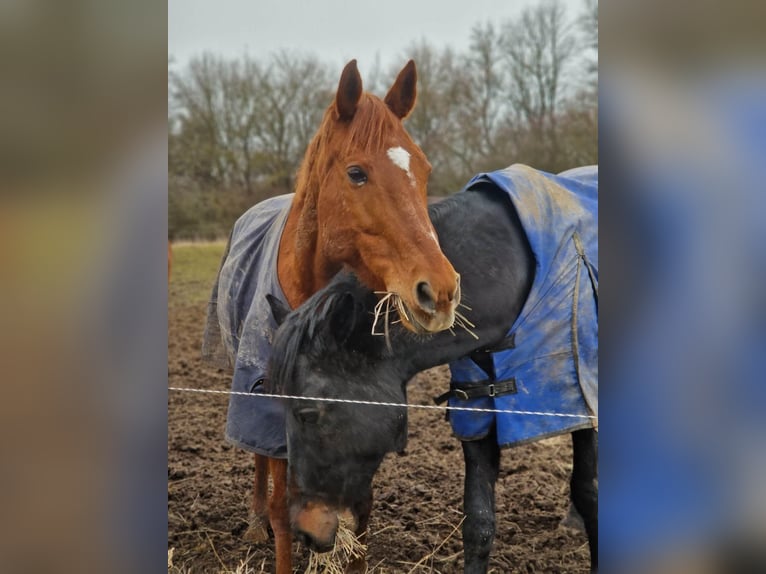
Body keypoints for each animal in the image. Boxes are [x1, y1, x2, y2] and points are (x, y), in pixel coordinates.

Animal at [202, 60, 460, 574]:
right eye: (356, 173)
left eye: (423, 169)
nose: (440, 292)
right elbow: (283, 509)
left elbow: (360, 511)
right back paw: (255, 521)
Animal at [267, 165, 599, 573]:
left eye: (308, 413)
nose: (304, 531)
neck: (511, 271)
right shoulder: (478, 409)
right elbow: (479, 521)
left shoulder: (583, 401)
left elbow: (590, 494)